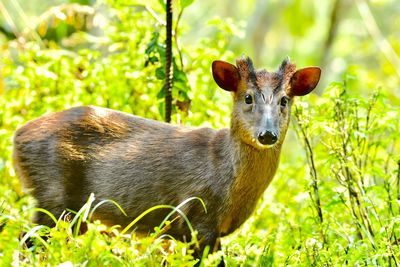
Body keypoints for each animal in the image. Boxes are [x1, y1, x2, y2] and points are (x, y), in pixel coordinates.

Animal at [12, 56, 320, 260]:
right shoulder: (197, 218)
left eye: (284, 100)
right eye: (247, 97)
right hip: (53, 194)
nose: (267, 134)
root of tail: (17, 136)